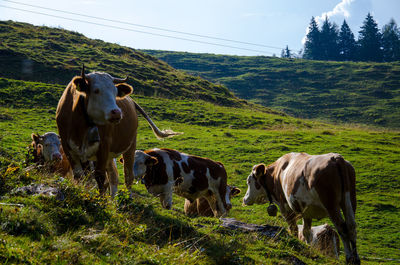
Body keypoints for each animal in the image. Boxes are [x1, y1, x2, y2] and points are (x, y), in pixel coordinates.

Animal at [56, 66, 181, 196]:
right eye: (96, 90)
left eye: (115, 92)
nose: (116, 112)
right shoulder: (68, 148)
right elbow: (81, 176)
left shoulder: (103, 147)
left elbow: (100, 177)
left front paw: (101, 200)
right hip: (109, 156)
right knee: (113, 176)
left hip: (130, 147)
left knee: (128, 177)